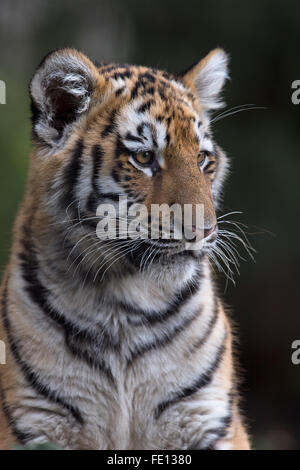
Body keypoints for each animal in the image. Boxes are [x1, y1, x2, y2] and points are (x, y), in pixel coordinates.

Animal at [0, 48, 251, 452]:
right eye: (144, 157)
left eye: (202, 159)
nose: (204, 231)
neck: (123, 303)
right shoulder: (35, 421)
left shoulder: (206, 417)